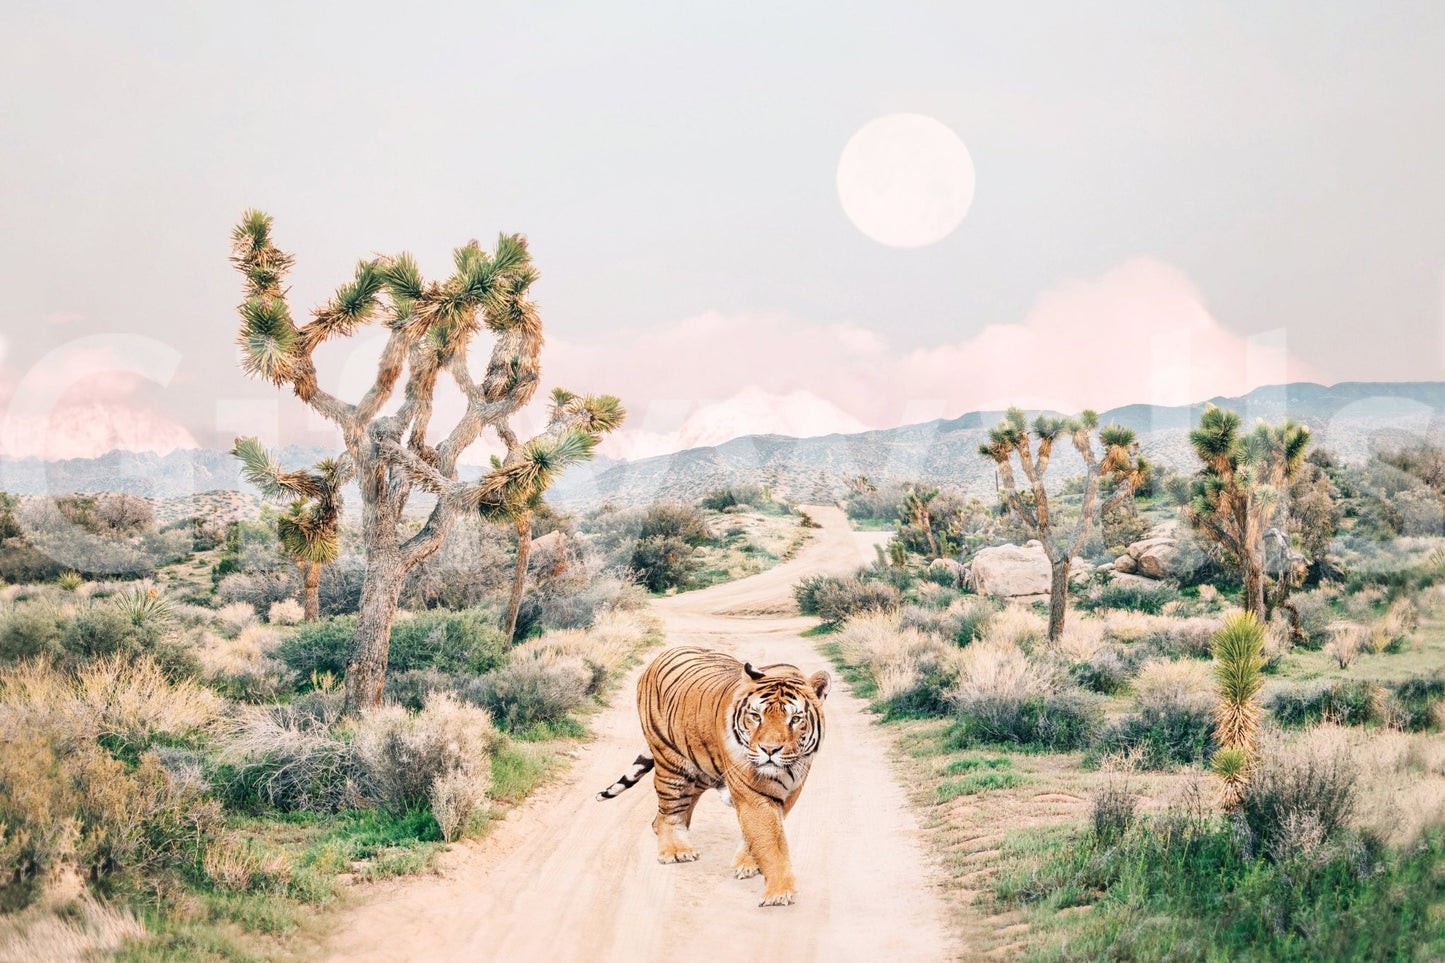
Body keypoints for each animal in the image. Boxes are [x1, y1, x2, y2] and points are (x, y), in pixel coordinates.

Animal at [595, 645, 831, 907]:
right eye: (756, 716)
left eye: (795, 719)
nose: (770, 750)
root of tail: (663, 655)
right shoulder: (752, 793)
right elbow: (770, 840)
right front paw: (779, 893)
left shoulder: (791, 790)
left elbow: (764, 833)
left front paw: (748, 865)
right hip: (671, 763)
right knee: (670, 809)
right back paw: (676, 850)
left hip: (700, 769)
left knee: (673, 810)